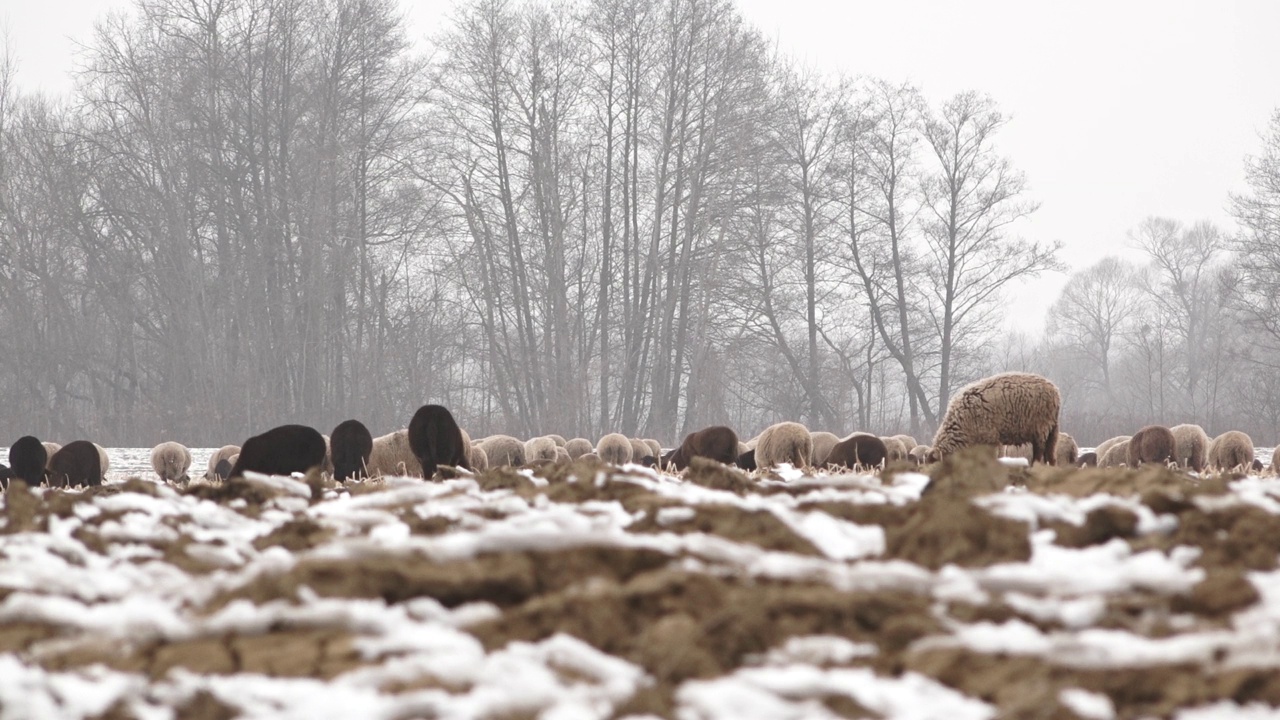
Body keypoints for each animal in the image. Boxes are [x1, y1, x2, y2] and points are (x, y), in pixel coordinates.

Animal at [931, 371, 1059, 461]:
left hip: (1041, 428)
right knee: (1051, 456)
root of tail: (1055, 391)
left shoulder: (990, 439)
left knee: (1039, 453)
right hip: (1052, 430)